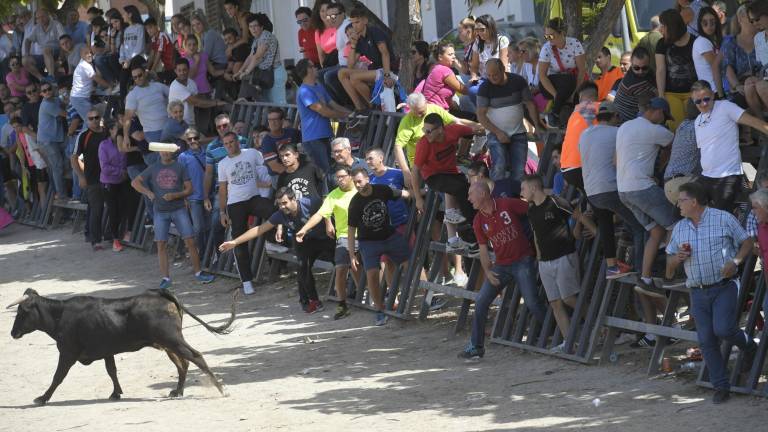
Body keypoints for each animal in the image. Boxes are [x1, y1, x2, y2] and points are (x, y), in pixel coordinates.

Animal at [7, 286, 236, 404]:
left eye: (22, 312)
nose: (12, 333)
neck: (60, 315)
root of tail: (161, 294)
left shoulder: (68, 353)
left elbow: (58, 376)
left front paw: (42, 398)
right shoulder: (107, 351)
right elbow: (112, 370)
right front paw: (116, 393)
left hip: (172, 339)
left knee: (195, 357)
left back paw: (222, 390)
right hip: (167, 343)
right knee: (183, 364)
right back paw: (177, 392)